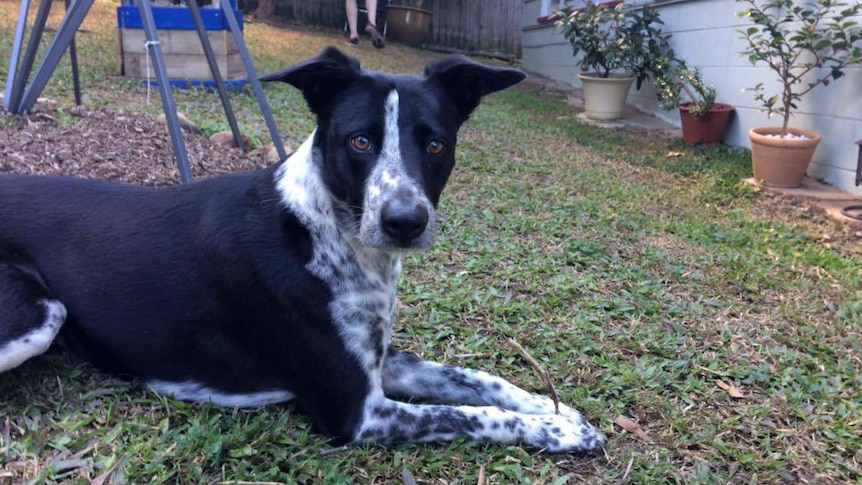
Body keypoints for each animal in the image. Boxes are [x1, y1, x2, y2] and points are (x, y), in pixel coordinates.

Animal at [0, 47, 608, 452]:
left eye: (435, 144)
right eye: (360, 140)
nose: (404, 223)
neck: (324, 231)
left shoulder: (379, 360)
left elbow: (475, 380)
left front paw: (555, 409)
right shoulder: (357, 412)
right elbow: (473, 415)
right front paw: (552, 429)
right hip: (39, 313)